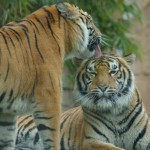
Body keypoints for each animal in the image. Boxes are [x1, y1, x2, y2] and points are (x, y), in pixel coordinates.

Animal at [0, 1, 102, 149]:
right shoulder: (49, 96)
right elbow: (52, 135)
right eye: (90, 20)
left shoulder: (6, 112)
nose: (101, 34)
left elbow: (6, 141)